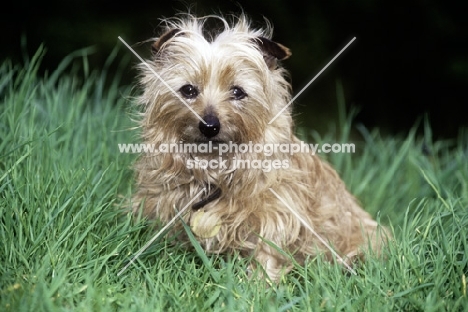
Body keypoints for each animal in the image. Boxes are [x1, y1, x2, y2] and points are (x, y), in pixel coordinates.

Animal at [130, 13, 390, 282]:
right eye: (188, 90)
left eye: (237, 92)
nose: (209, 126)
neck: (215, 171)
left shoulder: (277, 216)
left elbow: (267, 251)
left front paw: (258, 283)